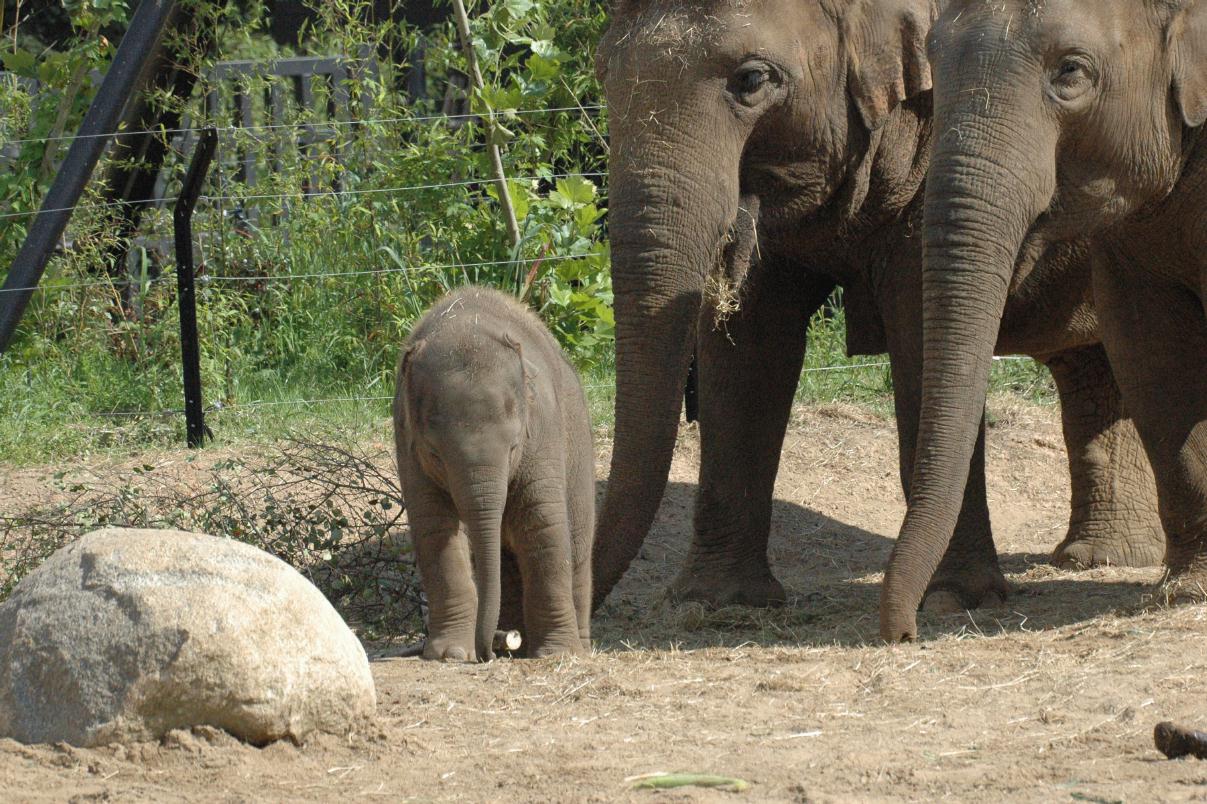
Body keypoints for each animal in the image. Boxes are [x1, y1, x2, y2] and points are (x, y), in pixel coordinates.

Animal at [393, 286, 596, 656]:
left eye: (514, 447)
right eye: (435, 454)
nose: (488, 651)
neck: (463, 323)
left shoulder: (542, 431)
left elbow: (542, 521)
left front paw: (558, 653)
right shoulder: (406, 443)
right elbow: (434, 527)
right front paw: (452, 654)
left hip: (579, 453)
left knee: (576, 547)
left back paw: (574, 647)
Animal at [589, 0, 1163, 610]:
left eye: (751, 80)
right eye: (604, 73)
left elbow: (920, 334)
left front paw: (952, 598)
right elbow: (748, 348)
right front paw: (715, 601)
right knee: (1092, 364)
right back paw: (1100, 557)